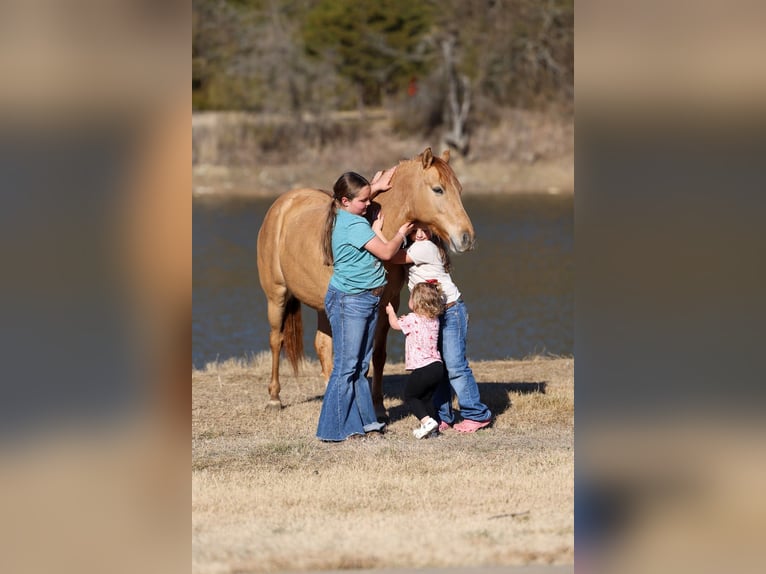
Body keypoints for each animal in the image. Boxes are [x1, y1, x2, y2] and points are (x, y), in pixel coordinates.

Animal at [256, 147, 474, 420]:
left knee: (323, 346)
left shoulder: (386, 305)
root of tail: (283, 203)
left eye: (460, 189)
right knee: (277, 340)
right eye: (438, 189)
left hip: (322, 307)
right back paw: (274, 398)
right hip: (276, 296)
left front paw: (378, 407)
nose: (467, 237)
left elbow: (377, 356)